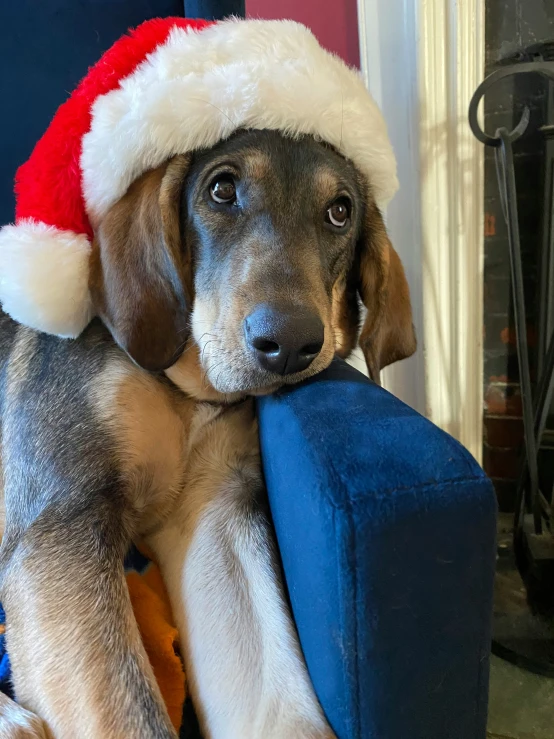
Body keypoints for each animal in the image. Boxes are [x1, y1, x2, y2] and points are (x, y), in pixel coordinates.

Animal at [0, 130, 412, 736]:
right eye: (221, 189)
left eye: (340, 212)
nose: (290, 344)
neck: (188, 391)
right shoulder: (61, 522)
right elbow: (132, 716)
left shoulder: (215, 514)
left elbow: (287, 709)